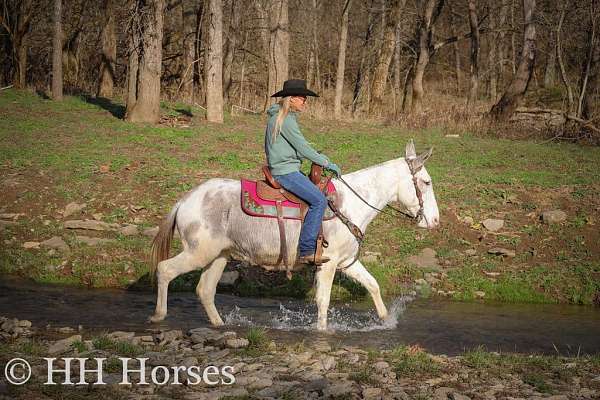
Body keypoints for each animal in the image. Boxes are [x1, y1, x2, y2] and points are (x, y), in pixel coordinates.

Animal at [150, 141, 440, 332]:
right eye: (426, 182)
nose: (435, 221)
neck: (350, 205)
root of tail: (185, 200)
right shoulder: (328, 264)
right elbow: (323, 300)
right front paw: (322, 332)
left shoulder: (347, 262)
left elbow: (373, 285)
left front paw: (385, 320)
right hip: (198, 252)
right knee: (165, 270)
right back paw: (158, 316)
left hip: (219, 256)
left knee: (205, 289)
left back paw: (219, 323)